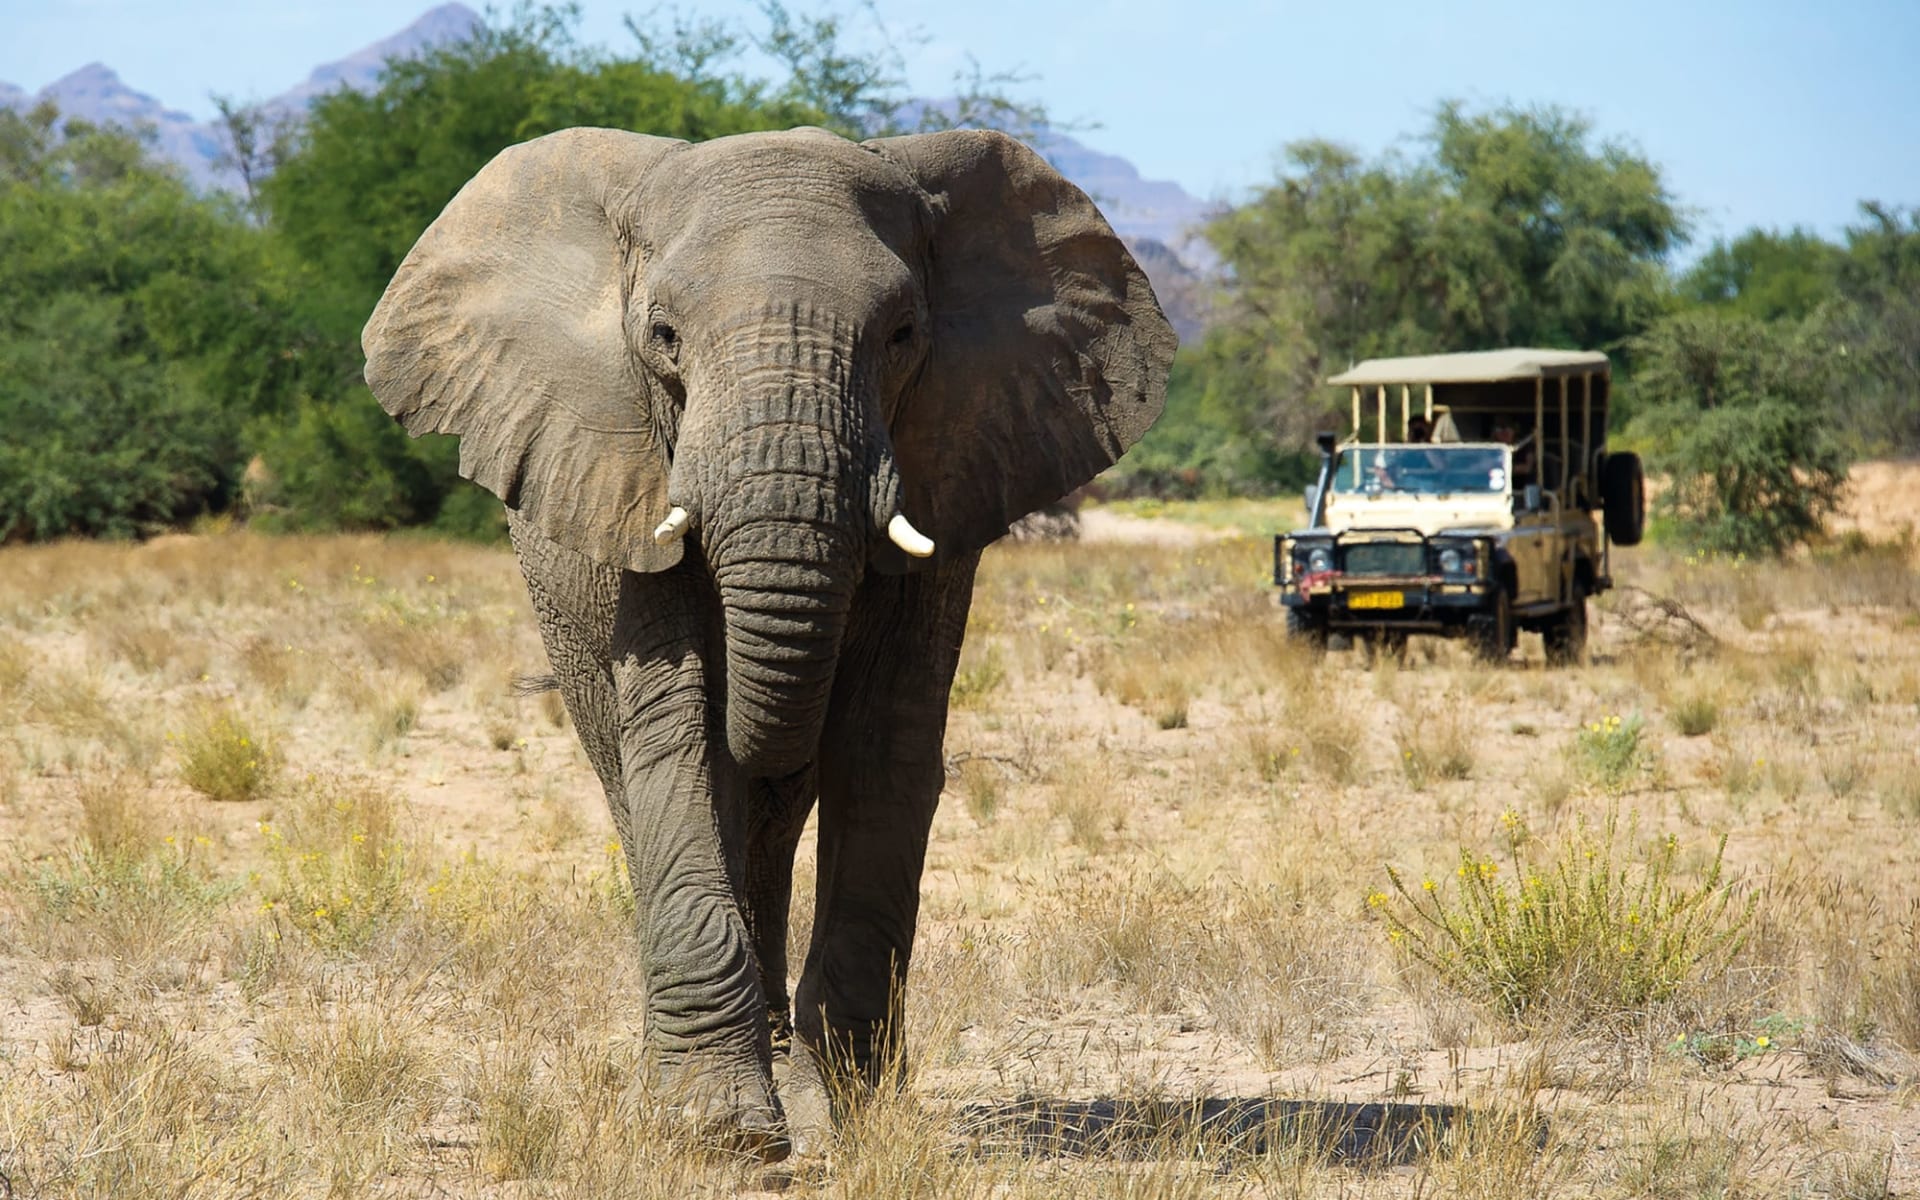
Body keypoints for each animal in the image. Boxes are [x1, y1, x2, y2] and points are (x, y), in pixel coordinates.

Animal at [361, 124, 1175, 1157]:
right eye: (663, 338)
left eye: (903, 335)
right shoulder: (630, 478)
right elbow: (681, 738)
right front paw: (725, 1133)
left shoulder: (953, 458)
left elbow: (884, 742)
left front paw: (848, 1116)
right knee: (639, 780)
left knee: (780, 809)